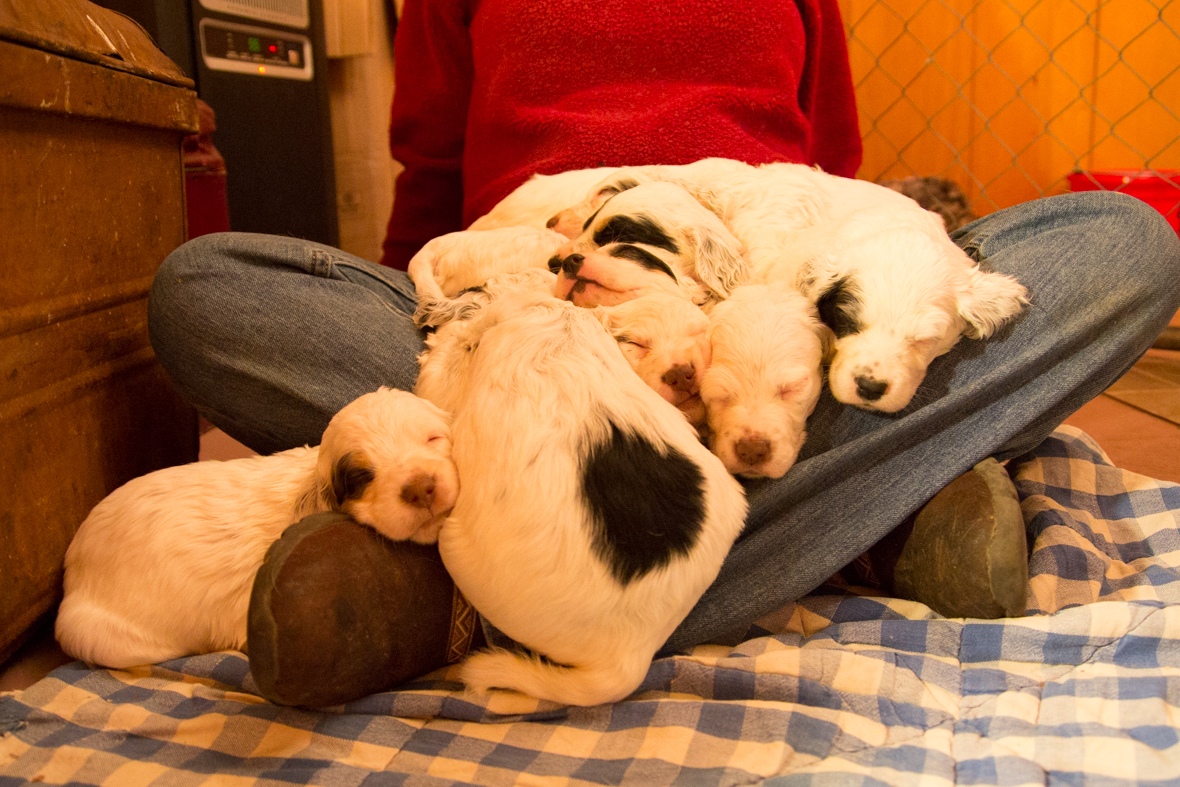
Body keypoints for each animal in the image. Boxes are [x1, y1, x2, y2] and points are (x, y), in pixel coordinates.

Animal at [415, 292, 745, 712]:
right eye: (636, 342)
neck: (555, 320)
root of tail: (629, 656)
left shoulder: (446, 391)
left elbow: (442, 368)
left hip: (456, 548)